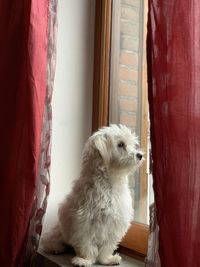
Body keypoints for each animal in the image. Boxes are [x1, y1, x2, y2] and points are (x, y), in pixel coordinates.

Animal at [41, 124, 143, 266]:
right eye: (121, 144)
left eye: (133, 144)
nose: (140, 155)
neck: (109, 184)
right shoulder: (84, 222)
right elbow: (87, 245)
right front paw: (84, 260)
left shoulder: (115, 222)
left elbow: (107, 245)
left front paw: (107, 259)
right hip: (57, 231)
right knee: (50, 240)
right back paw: (56, 247)